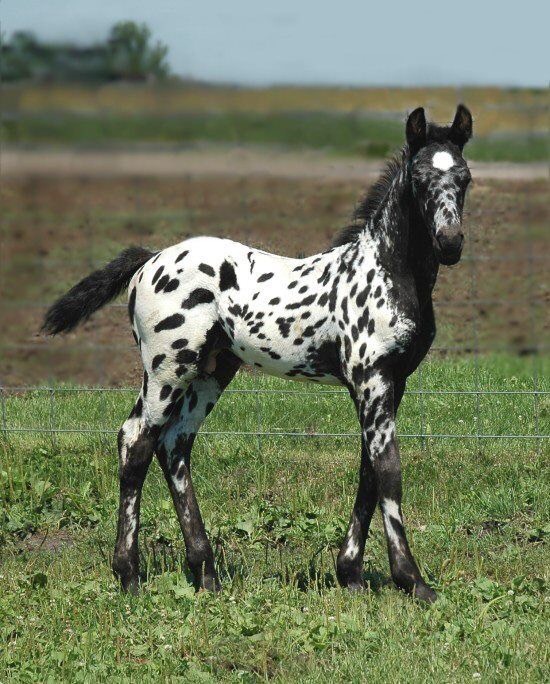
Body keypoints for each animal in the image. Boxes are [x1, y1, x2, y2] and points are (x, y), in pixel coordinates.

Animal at [43, 105, 473, 603]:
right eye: (420, 178)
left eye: (464, 177)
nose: (450, 242)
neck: (385, 272)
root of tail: (150, 259)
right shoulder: (371, 380)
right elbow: (389, 472)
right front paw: (413, 580)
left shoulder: (392, 384)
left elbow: (369, 471)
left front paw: (351, 575)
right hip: (168, 368)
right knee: (136, 441)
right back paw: (129, 575)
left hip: (211, 372)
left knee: (175, 445)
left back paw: (205, 573)